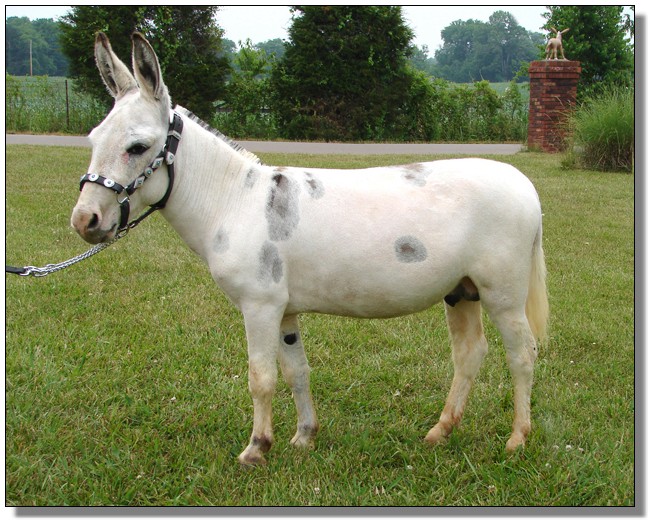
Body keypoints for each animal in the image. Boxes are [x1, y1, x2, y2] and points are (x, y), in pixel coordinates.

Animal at [71, 33, 548, 466]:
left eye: (137, 147)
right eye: (93, 139)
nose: (84, 221)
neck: (234, 200)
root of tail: (524, 184)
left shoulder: (259, 306)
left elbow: (261, 377)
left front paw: (256, 449)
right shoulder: (284, 311)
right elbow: (295, 372)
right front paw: (304, 437)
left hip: (501, 295)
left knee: (522, 356)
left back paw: (517, 440)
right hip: (460, 290)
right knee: (470, 355)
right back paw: (440, 432)